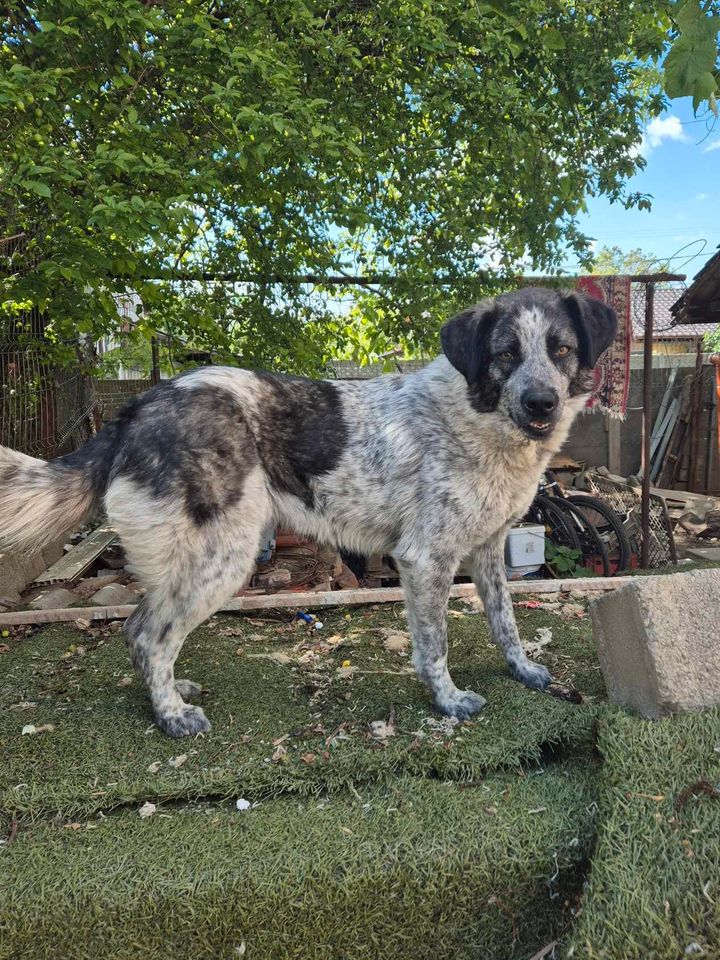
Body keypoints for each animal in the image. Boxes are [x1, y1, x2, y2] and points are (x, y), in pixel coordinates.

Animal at [0, 284, 616, 736]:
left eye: (561, 349)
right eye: (505, 353)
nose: (542, 403)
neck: (477, 415)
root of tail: (136, 407)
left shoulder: (486, 551)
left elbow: (506, 622)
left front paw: (523, 670)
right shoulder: (425, 559)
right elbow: (435, 646)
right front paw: (447, 699)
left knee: (137, 629)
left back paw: (172, 691)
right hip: (224, 556)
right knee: (152, 635)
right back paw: (171, 715)